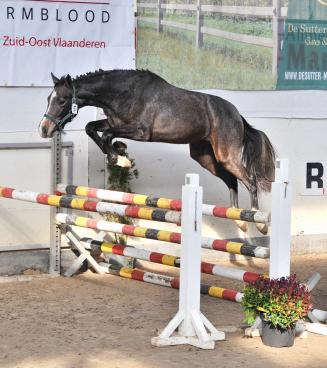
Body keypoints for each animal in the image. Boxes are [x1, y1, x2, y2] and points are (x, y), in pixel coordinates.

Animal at [39, 69, 278, 233]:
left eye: (62, 100)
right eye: (48, 99)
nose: (44, 129)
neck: (122, 93)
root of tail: (236, 114)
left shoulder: (141, 131)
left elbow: (106, 135)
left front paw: (119, 157)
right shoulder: (114, 123)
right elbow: (92, 128)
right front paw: (119, 153)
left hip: (226, 154)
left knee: (250, 180)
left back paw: (258, 220)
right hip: (205, 157)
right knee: (231, 180)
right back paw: (239, 219)